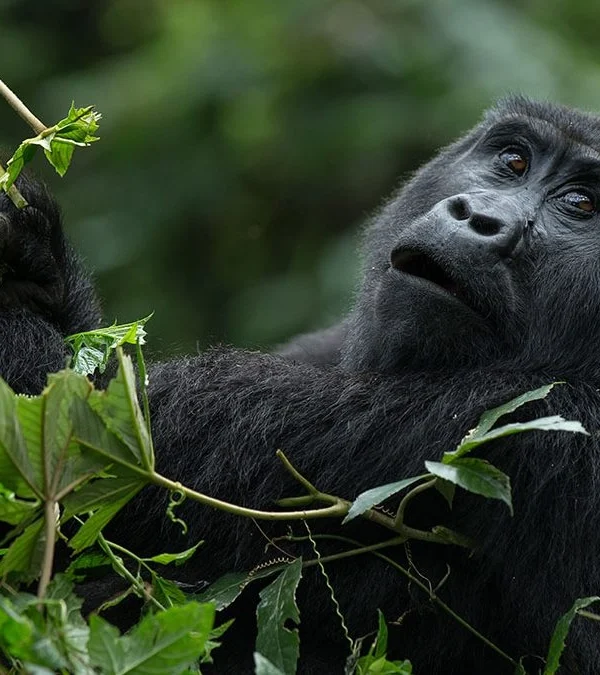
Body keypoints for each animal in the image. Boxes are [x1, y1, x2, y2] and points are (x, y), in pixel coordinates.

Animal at [1, 96, 600, 675]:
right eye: (514, 161)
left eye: (581, 204)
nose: (479, 216)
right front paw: (34, 269)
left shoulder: (529, 420)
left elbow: (96, 448)